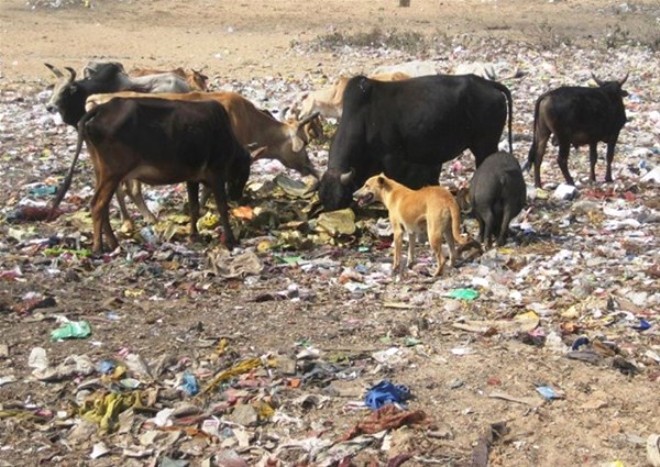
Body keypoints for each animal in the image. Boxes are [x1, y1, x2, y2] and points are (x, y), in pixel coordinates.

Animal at [48, 97, 250, 254]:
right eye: (244, 173)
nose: (237, 196)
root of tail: (102, 108)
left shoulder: (192, 178)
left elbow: (194, 207)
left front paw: (194, 236)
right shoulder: (216, 173)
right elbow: (222, 207)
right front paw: (230, 240)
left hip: (101, 172)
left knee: (102, 206)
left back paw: (113, 244)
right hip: (113, 173)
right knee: (97, 205)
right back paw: (99, 247)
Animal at [318, 74, 512, 210]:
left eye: (341, 200)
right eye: (323, 201)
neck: (363, 118)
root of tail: (488, 84)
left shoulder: (392, 157)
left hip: (485, 145)